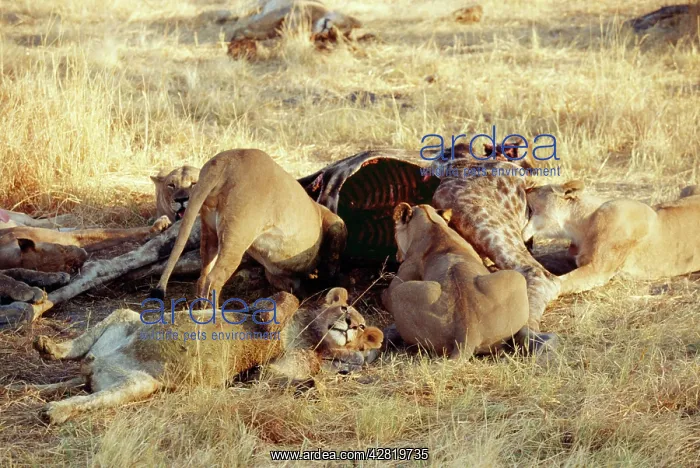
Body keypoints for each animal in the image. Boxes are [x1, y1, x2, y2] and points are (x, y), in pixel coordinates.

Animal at [20, 287, 382, 425]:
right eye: (345, 309)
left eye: (363, 327)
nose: (351, 326)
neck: (310, 333)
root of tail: (101, 364)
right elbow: (286, 297)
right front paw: (269, 316)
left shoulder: (278, 369)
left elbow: (271, 377)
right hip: (127, 318)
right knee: (79, 353)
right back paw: (48, 349)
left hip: (138, 384)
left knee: (86, 395)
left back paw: (54, 409)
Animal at [151, 149, 347, 306]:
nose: (181, 199)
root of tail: (225, 159)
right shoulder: (337, 226)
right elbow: (331, 267)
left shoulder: (277, 273)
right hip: (237, 236)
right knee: (214, 279)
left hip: (210, 232)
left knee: (203, 276)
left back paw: (201, 309)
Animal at [381, 203, 551, 358]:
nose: (396, 255)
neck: (432, 224)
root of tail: (468, 331)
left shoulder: (403, 274)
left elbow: (386, 295)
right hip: (514, 278)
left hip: (401, 292)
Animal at [522, 181, 700, 294]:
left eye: (536, 188)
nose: (526, 189)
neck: (581, 226)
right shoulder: (572, 257)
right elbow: (548, 258)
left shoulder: (597, 271)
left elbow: (562, 282)